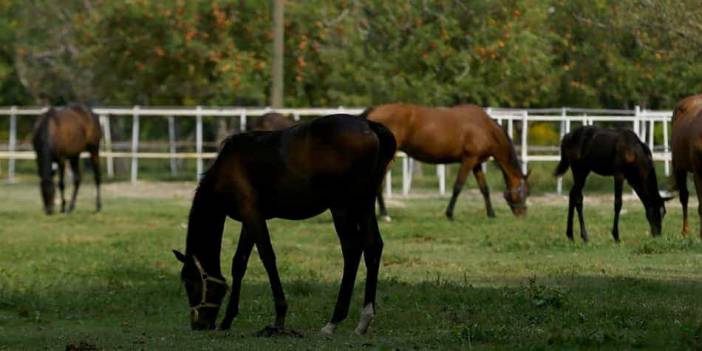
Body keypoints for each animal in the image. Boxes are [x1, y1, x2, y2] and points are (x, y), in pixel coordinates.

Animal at [172, 114, 396, 336]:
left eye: (190, 284)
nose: (199, 325)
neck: (227, 168)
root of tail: (369, 126)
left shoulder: (251, 214)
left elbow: (267, 257)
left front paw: (279, 318)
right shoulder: (250, 219)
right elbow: (239, 263)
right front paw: (228, 319)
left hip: (341, 206)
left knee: (352, 249)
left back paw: (333, 321)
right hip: (364, 203)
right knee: (373, 246)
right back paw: (364, 319)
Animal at [366, 103, 532, 221]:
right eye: (525, 192)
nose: (522, 214)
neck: (485, 127)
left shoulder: (476, 163)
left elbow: (484, 188)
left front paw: (491, 214)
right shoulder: (468, 160)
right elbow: (458, 187)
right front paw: (450, 214)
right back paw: (385, 215)